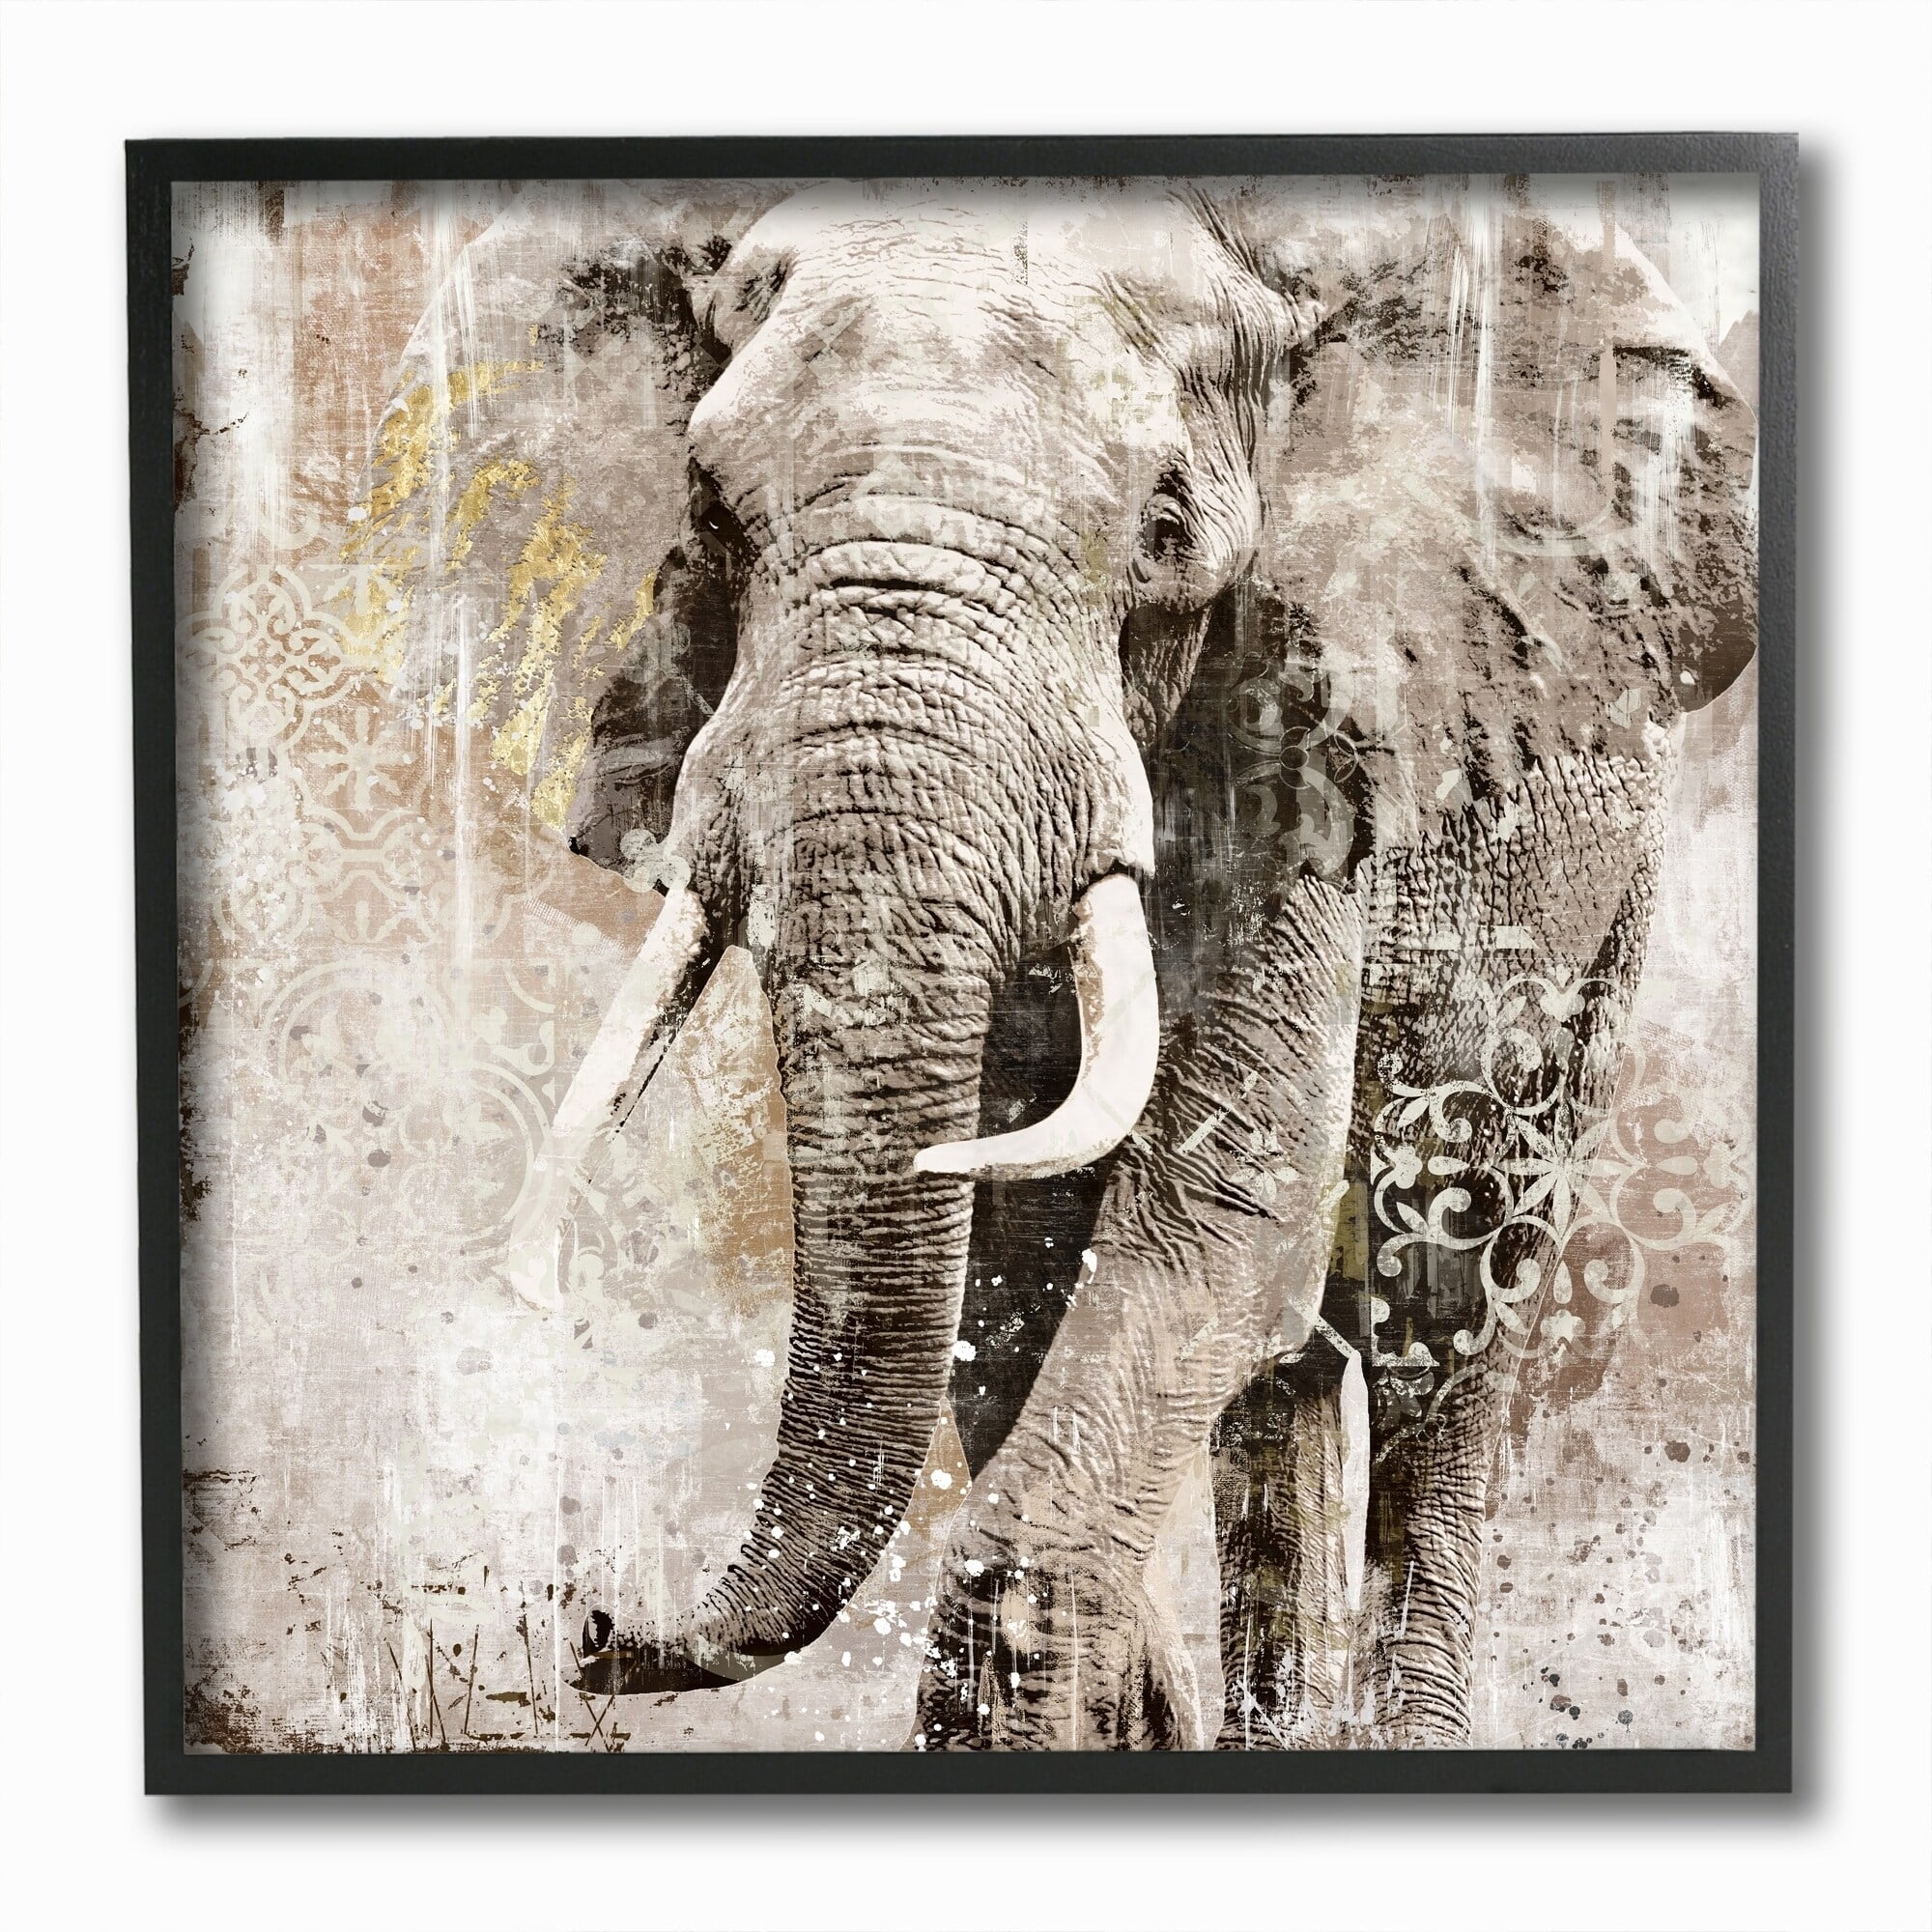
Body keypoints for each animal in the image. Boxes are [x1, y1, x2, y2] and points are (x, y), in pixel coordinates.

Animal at [363, 174, 1757, 1749]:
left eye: (1164, 527)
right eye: (710, 511)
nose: (594, 1621)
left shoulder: (1304, 738)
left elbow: (1227, 1200)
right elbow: (1019, 1253)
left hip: (1594, 877)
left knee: (1443, 1304)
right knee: (1285, 1367)